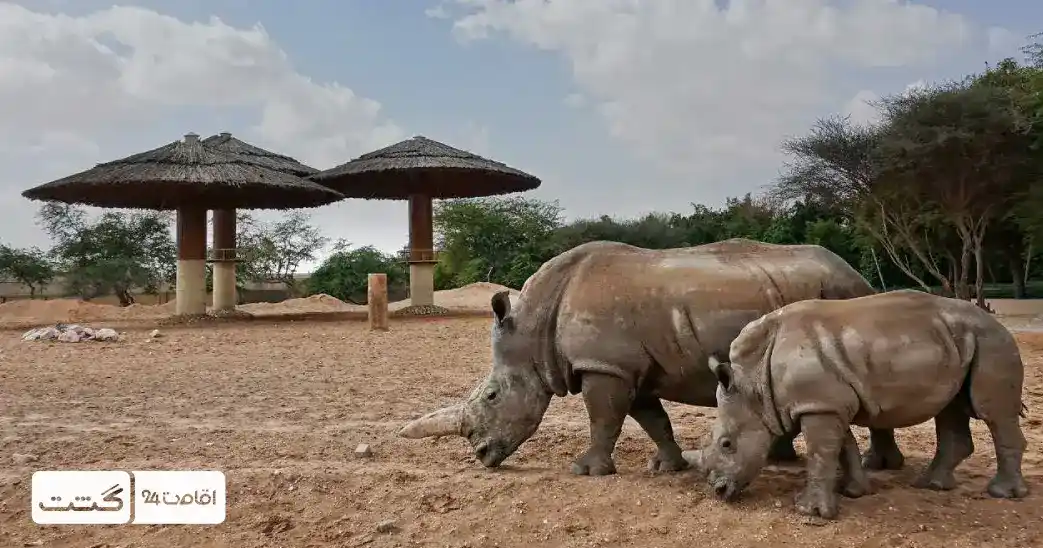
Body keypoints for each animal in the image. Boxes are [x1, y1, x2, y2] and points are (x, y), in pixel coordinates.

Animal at [398, 238, 904, 476]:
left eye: (491, 395)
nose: (482, 456)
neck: (535, 326)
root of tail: (853, 270)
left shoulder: (605, 366)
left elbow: (604, 418)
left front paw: (585, 471)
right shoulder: (630, 367)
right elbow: (650, 419)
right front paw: (668, 467)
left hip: (846, 294)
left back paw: (879, 468)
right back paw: (785, 461)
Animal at [691, 289, 1029, 519]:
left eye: (726, 444)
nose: (719, 492)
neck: (754, 384)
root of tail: (996, 322)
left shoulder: (819, 405)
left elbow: (821, 453)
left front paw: (810, 511)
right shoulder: (829, 402)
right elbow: (843, 447)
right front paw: (853, 492)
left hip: (992, 341)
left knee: (992, 413)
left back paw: (1003, 494)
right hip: (958, 343)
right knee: (951, 409)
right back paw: (930, 485)